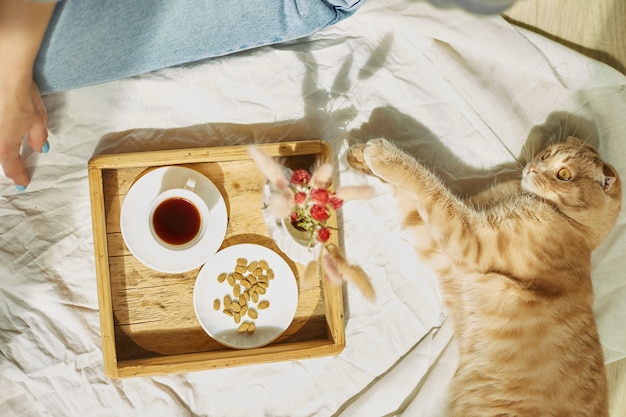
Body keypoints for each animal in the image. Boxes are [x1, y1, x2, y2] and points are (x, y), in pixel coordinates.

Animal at [346, 137, 620, 416]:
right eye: (546, 155)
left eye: (564, 174)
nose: (533, 167)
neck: (574, 227)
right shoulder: (439, 248)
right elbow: (415, 192)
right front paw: (360, 157)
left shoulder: (470, 237)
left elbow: (429, 186)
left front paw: (383, 155)